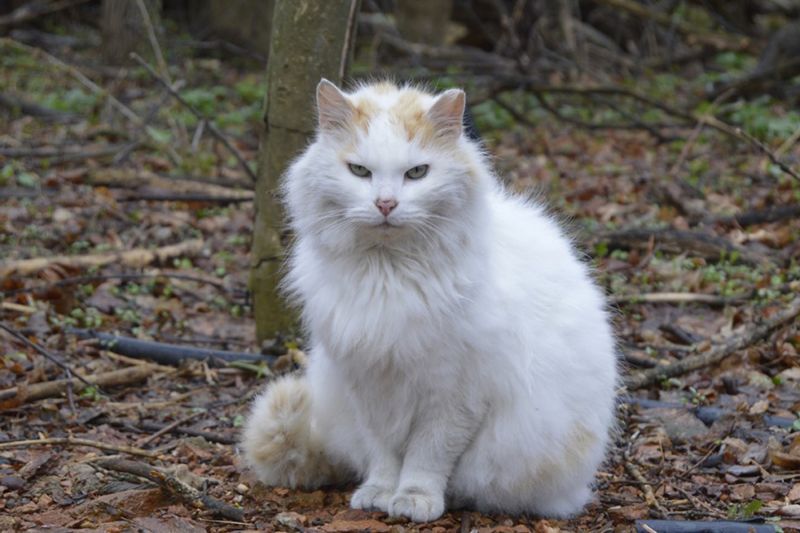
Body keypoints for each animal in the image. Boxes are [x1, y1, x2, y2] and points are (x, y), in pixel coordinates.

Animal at [242, 79, 620, 520]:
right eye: (360, 171)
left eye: (417, 173)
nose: (385, 204)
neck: (387, 274)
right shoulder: (368, 385)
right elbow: (383, 454)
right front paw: (379, 493)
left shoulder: (455, 395)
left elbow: (428, 456)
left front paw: (414, 500)